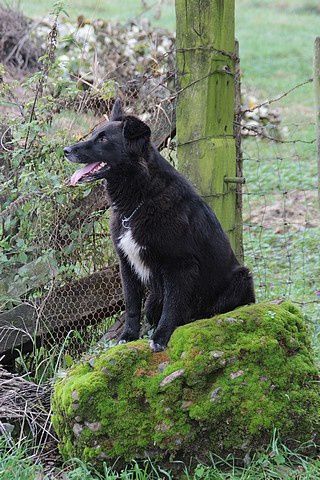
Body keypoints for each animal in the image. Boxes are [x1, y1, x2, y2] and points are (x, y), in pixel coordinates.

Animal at [64, 98, 255, 352]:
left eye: (103, 139)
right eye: (95, 134)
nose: (66, 151)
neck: (140, 200)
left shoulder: (179, 266)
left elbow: (172, 307)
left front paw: (161, 337)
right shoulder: (127, 264)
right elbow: (131, 305)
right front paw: (128, 335)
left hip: (241, 278)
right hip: (153, 300)